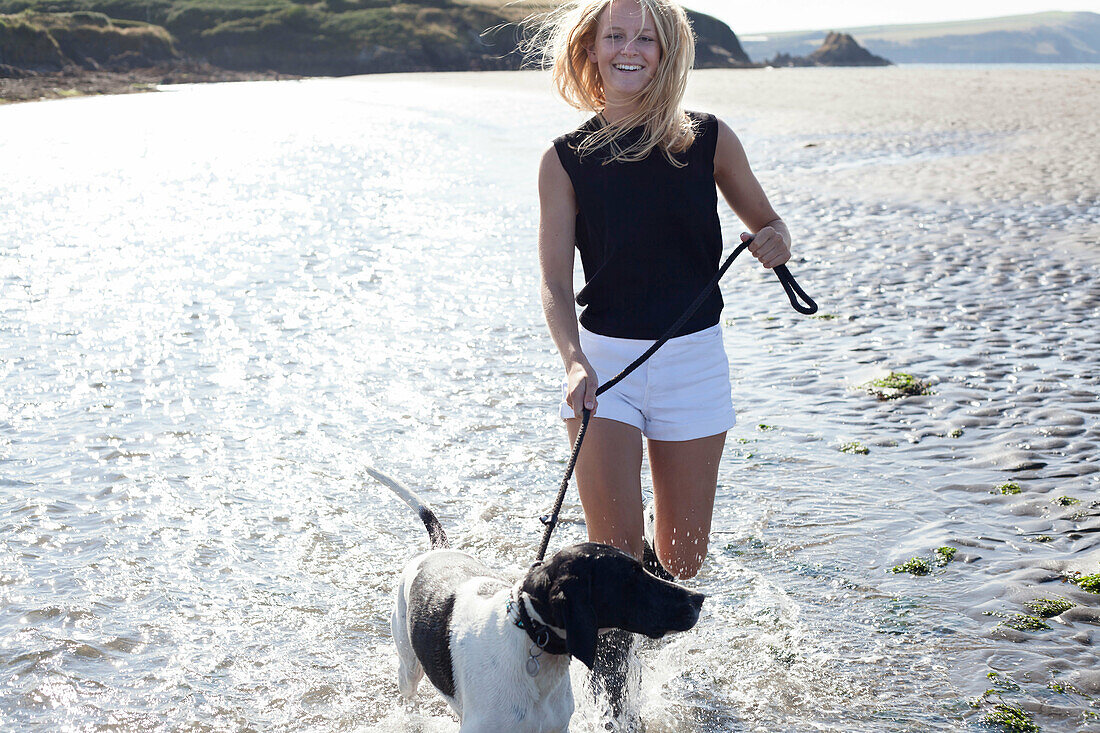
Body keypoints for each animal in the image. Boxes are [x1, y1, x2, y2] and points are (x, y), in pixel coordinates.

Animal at [365, 468, 708, 730]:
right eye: (631, 578)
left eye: (644, 568)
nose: (699, 598)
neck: (531, 639)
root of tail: (438, 549)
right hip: (408, 666)